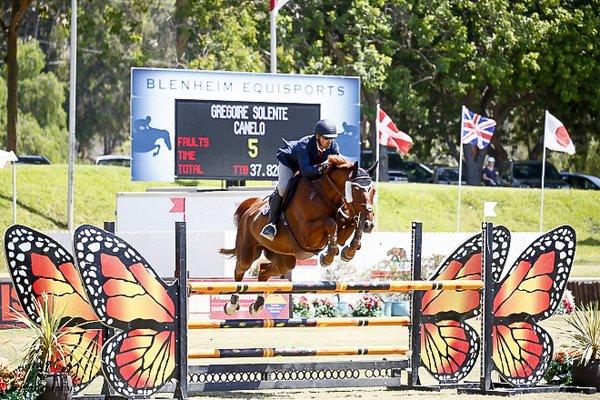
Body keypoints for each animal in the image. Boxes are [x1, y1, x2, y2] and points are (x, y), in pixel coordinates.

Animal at [218, 158, 378, 314]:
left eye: (374, 191)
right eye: (356, 189)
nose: (369, 224)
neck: (324, 195)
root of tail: (250, 210)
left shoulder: (342, 228)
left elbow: (350, 224)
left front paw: (349, 251)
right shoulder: (308, 235)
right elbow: (330, 223)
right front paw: (328, 256)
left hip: (284, 259)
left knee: (263, 271)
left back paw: (257, 305)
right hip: (248, 251)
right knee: (240, 269)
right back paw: (232, 304)